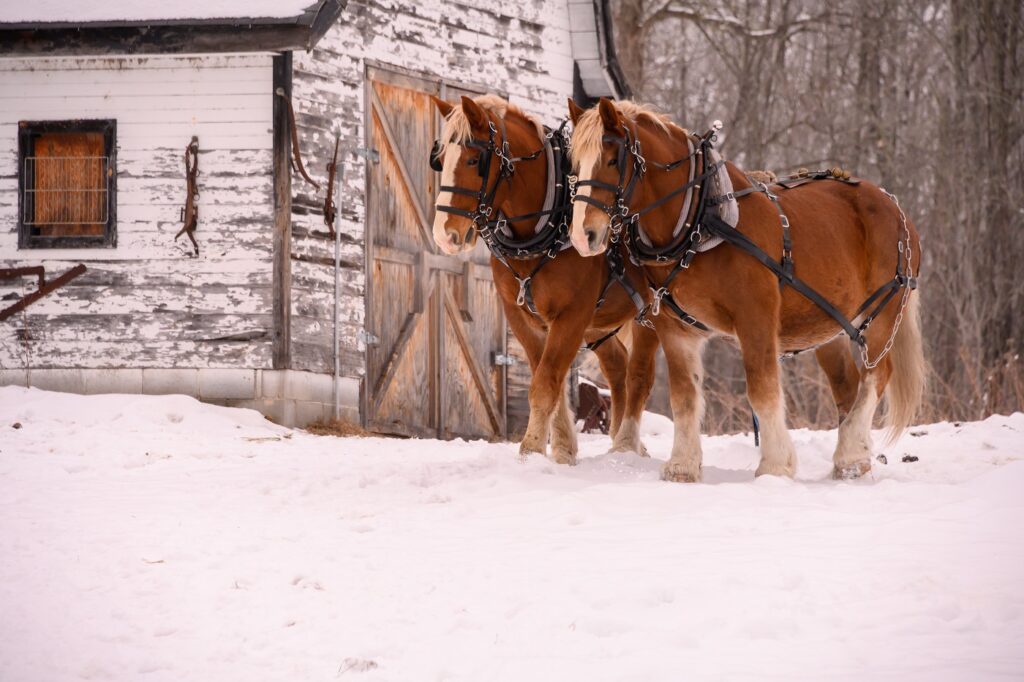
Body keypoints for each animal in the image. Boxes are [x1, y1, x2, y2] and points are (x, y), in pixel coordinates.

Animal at [428, 94, 659, 462]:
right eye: (440, 159)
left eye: (474, 159)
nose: (443, 234)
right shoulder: (522, 316)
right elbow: (547, 378)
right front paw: (562, 450)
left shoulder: (572, 315)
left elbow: (546, 381)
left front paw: (530, 450)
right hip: (600, 324)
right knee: (617, 369)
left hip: (647, 313)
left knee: (639, 376)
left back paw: (628, 446)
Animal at [569, 99, 929, 483]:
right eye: (574, 164)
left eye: (612, 159)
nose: (582, 236)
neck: (700, 218)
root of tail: (895, 206)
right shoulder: (676, 329)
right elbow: (684, 396)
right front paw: (682, 466)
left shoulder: (755, 318)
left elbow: (762, 389)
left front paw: (775, 465)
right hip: (829, 325)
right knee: (848, 386)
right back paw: (853, 460)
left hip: (882, 313)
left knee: (876, 375)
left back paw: (850, 454)